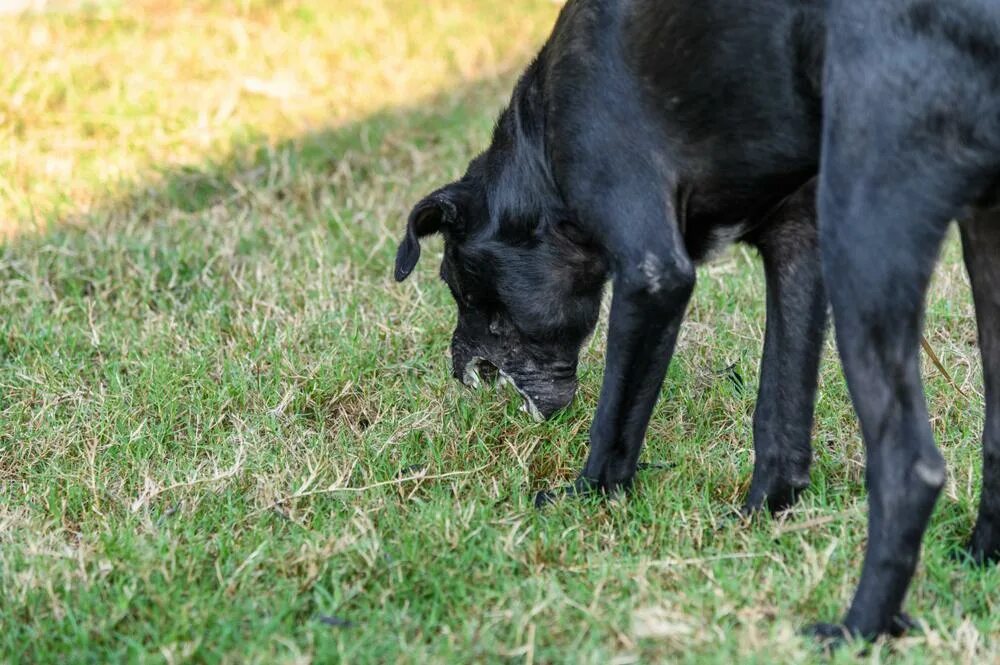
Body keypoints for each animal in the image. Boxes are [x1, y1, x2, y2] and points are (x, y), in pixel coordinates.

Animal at [394, 0, 1000, 644]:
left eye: (457, 285)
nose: (458, 369)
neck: (540, 148)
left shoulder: (653, 275)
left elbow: (614, 422)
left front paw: (585, 501)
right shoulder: (796, 243)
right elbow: (779, 415)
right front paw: (761, 516)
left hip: (866, 235)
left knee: (910, 467)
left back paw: (857, 630)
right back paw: (978, 561)